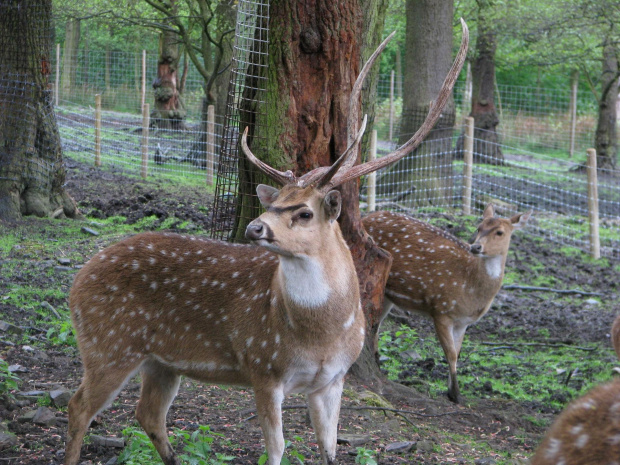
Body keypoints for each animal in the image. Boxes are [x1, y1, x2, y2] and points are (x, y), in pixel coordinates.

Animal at [64, 23, 470, 464]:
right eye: (273, 201)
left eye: (304, 212)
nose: (255, 227)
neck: (318, 338)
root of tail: (77, 281)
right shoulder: (263, 367)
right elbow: (275, 449)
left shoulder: (332, 380)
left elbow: (329, 449)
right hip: (109, 344)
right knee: (79, 406)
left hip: (160, 361)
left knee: (147, 413)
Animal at [360, 203, 532, 402]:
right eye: (479, 227)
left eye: (500, 232)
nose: (476, 247)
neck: (471, 291)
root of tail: (366, 217)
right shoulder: (441, 310)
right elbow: (450, 354)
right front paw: (456, 394)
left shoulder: (463, 322)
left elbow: (457, 351)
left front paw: (452, 391)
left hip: (387, 293)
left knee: (376, 325)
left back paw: (378, 364)